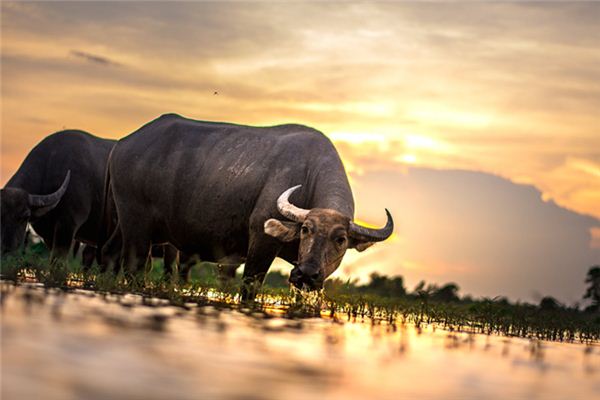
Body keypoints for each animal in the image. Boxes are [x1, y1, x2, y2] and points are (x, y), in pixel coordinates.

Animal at [103, 114, 394, 298]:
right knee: (135, 266)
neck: (308, 176)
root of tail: (122, 144)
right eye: (305, 230)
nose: (307, 273)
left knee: (109, 253)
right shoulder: (260, 241)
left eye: (341, 239)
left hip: (123, 223)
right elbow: (249, 288)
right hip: (136, 227)